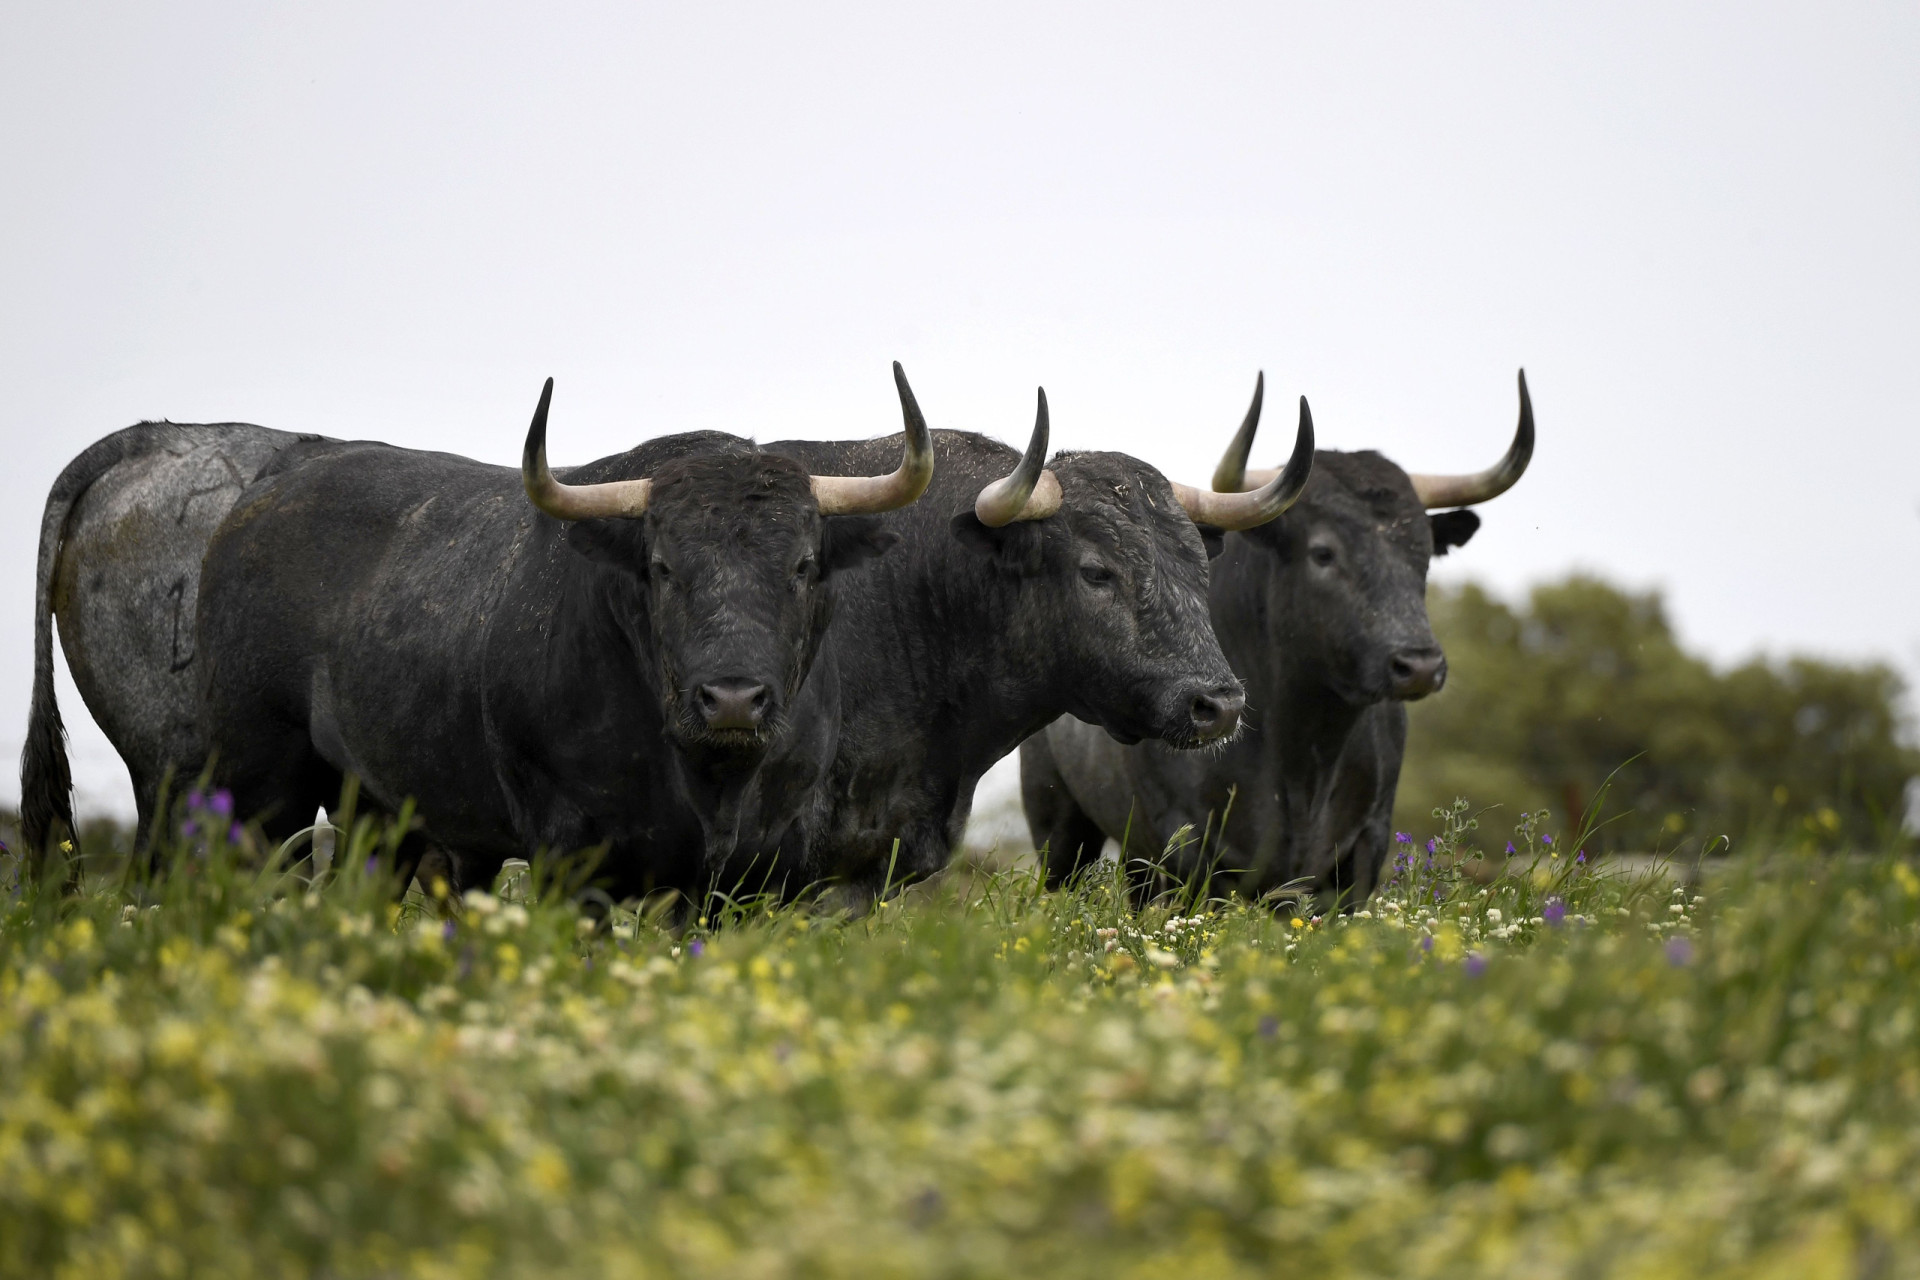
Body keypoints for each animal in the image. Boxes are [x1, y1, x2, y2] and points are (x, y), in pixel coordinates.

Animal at [1021, 371, 1535, 906]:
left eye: (1425, 551)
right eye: (1323, 553)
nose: (1419, 666)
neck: (1302, 755)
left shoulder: (1364, 849)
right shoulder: (1186, 848)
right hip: (1058, 826)